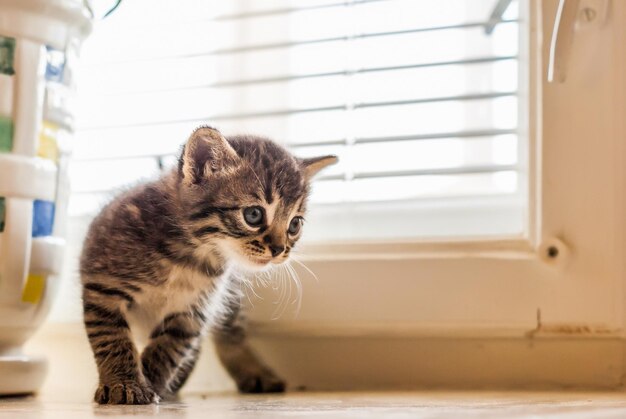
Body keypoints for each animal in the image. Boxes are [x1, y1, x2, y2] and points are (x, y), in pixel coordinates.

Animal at [79, 127, 336, 404]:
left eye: (294, 225)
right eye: (254, 215)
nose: (279, 250)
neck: (188, 253)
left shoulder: (194, 309)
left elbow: (168, 349)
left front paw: (150, 381)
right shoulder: (103, 286)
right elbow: (113, 340)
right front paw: (126, 384)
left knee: (230, 333)